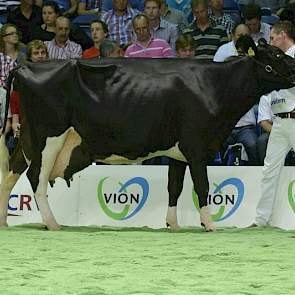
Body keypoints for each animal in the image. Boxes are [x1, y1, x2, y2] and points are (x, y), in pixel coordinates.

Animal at [0, 41, 295, 231]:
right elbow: (202, 186)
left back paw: (4, 222)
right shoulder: (197, 145)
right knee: (36, 179)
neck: (214, 85)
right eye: (277, 55)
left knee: (11, 174)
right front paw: (210, 225)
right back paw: (52, 223)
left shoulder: (179, 150)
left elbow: (174, 186)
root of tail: (24, 67)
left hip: (27, 137)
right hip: (47, 137)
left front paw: (173, 225)